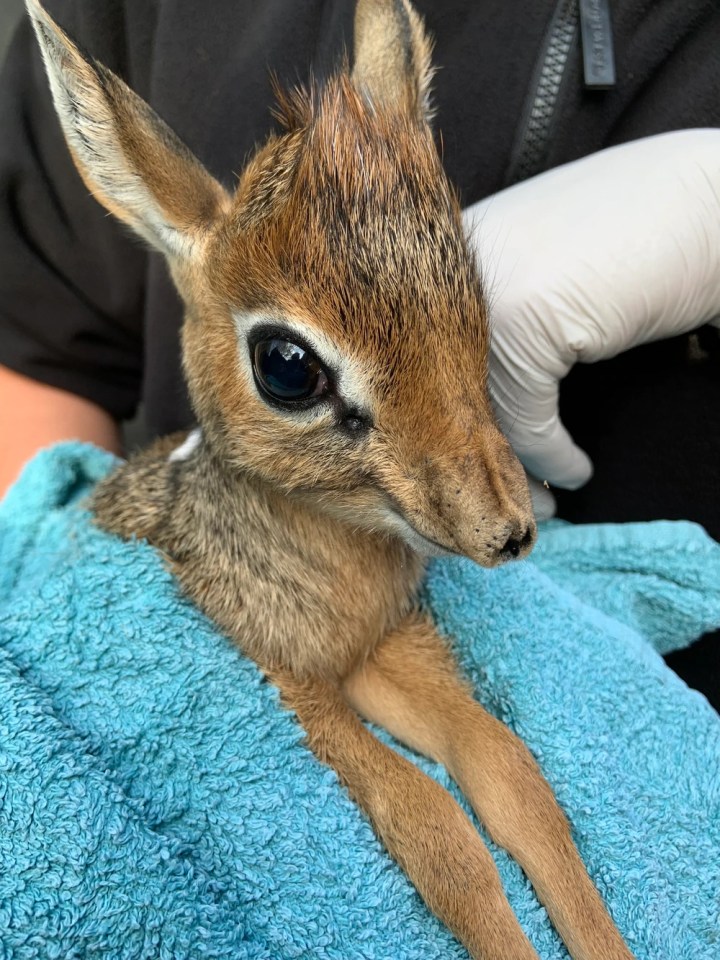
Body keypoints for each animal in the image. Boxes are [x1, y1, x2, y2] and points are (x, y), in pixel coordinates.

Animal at [28, 0, 636, 956]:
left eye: (472, 306)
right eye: (287, 368)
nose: (506, 529)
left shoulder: (387, 649)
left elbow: (512, 776)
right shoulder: (290, 686)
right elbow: (437, 830)